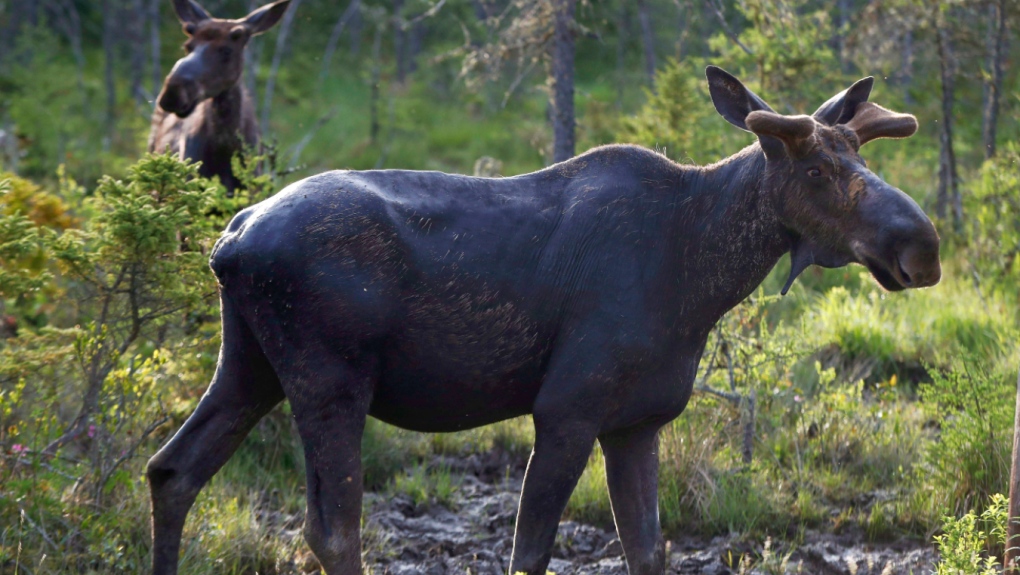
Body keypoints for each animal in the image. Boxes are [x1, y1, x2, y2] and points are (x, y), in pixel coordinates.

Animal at [143, 68, 938, 575]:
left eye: (857, 153)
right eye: (815, 171)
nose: (921, 245)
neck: (702, 275)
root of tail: (230, 241)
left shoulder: (637, 422)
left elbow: (648, 550)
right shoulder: (566, 409)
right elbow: (529, 553)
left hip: (250, 368)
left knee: (171, 471)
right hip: (328, 381)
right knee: (333, 530)